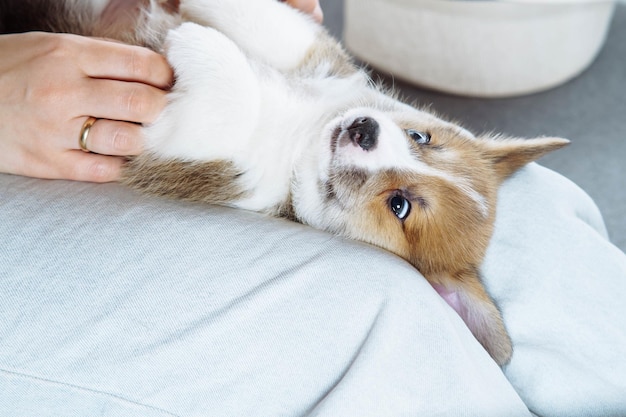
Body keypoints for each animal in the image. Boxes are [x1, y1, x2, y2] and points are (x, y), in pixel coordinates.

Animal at [0, 0, 564, 364]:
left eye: (400, 205)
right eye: (420, 136)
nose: (363, 129)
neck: (304, 134)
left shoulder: (191, 150)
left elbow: (233, 98)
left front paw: (193, 41)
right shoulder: (310, 54)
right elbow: (267, 19)